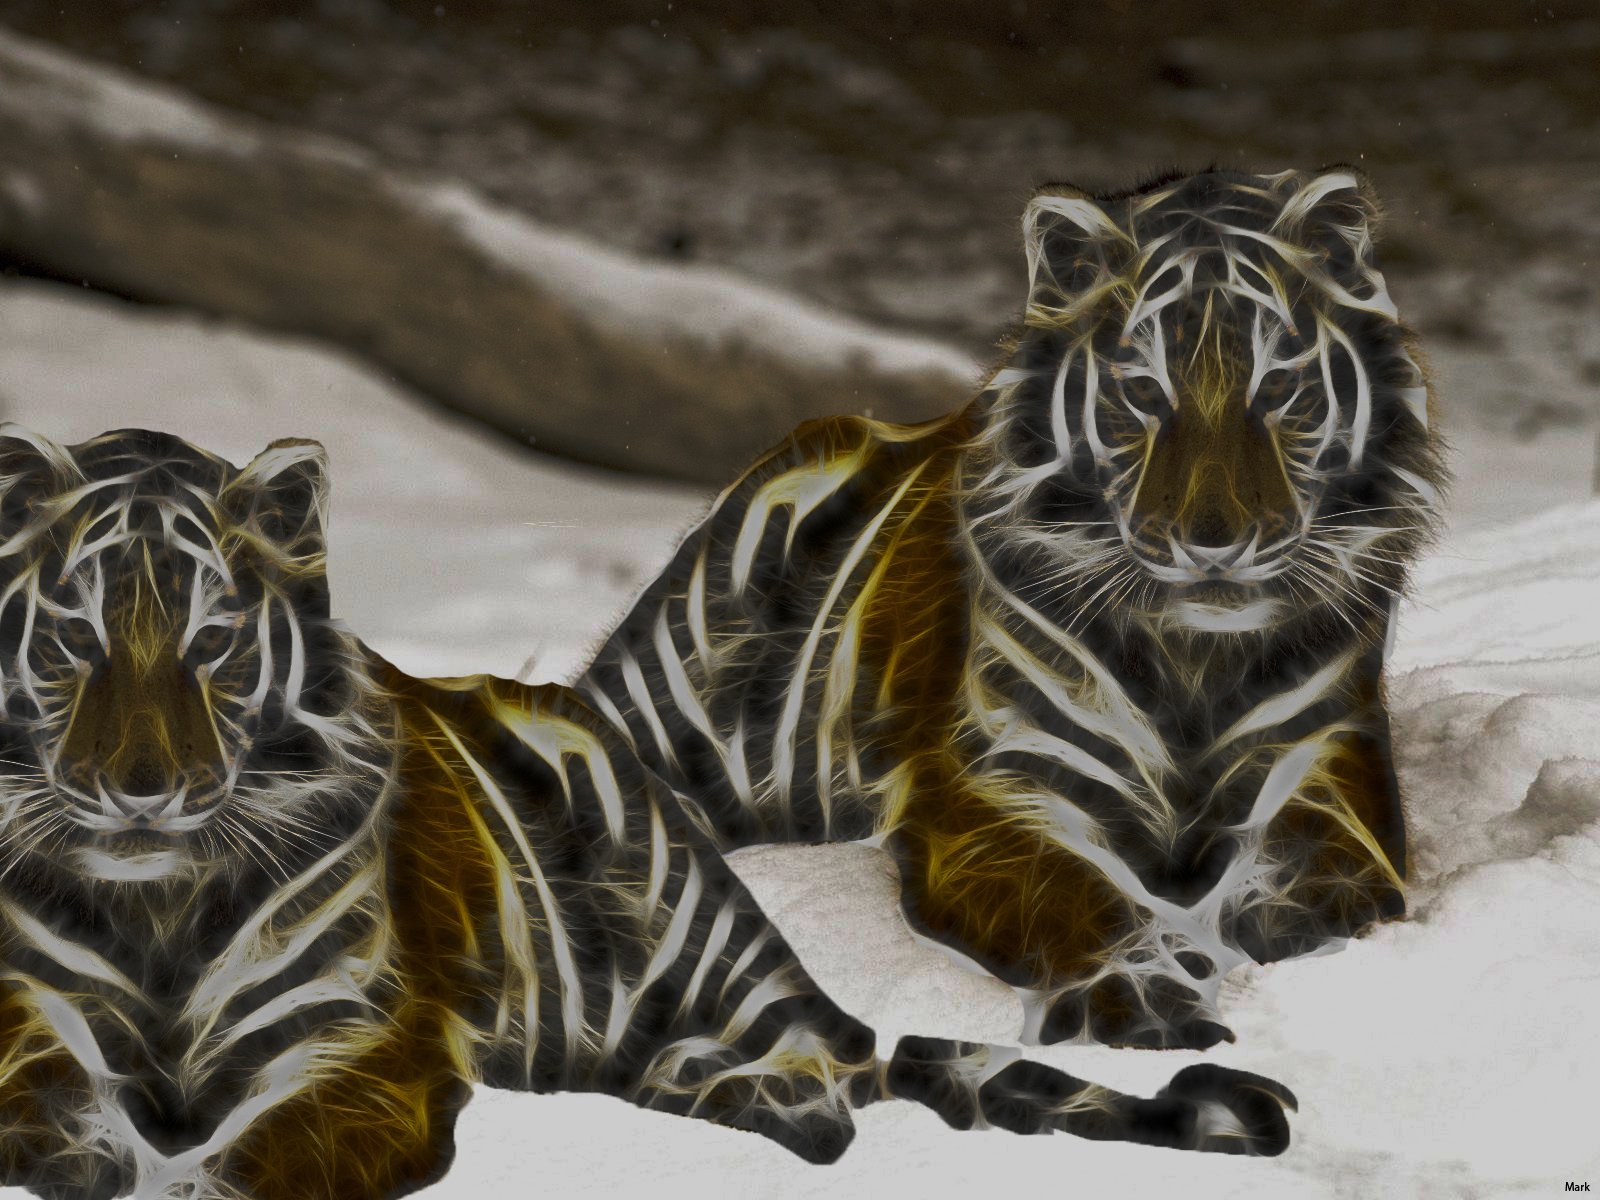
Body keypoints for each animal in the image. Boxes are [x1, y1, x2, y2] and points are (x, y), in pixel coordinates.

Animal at [0, 427, 1296, 1200]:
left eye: (212, 643)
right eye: (75, 638)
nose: (142, 792)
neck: (158, 906)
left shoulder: (367, 1056)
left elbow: (243, 1164)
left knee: (821, 1075)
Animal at [583, 166, 1449, 1052]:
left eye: (1277, 387)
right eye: (1144, 393)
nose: (1214, 545)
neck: (1195, 662)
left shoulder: (1330, 758)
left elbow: (1332, 877)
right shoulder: (996, 788)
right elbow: (1078, 901)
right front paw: (1142, 998)